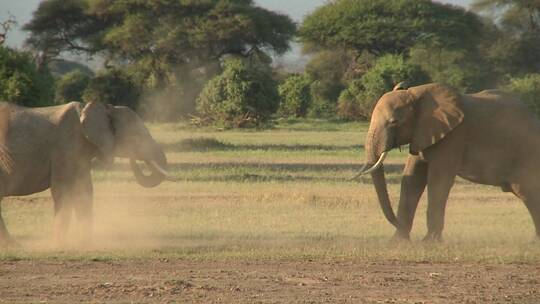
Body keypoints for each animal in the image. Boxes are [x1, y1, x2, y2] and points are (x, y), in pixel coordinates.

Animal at [0, 100, 175, 247]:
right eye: (136, 137)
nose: (133, 158)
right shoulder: (66, 147)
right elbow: (63, 190)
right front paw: (59, 245)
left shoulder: (80, 154)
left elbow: (84, 190)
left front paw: (85, 244)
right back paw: (14, 246)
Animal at [356, 82, 540, 241]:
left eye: (394, 122)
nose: (396, 223)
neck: (416, 93)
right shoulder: (422, 133)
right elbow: (412, 178)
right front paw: (398, 241)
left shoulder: (453, 137)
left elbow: (438, 181)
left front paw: (429, 242)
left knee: (527, 191)